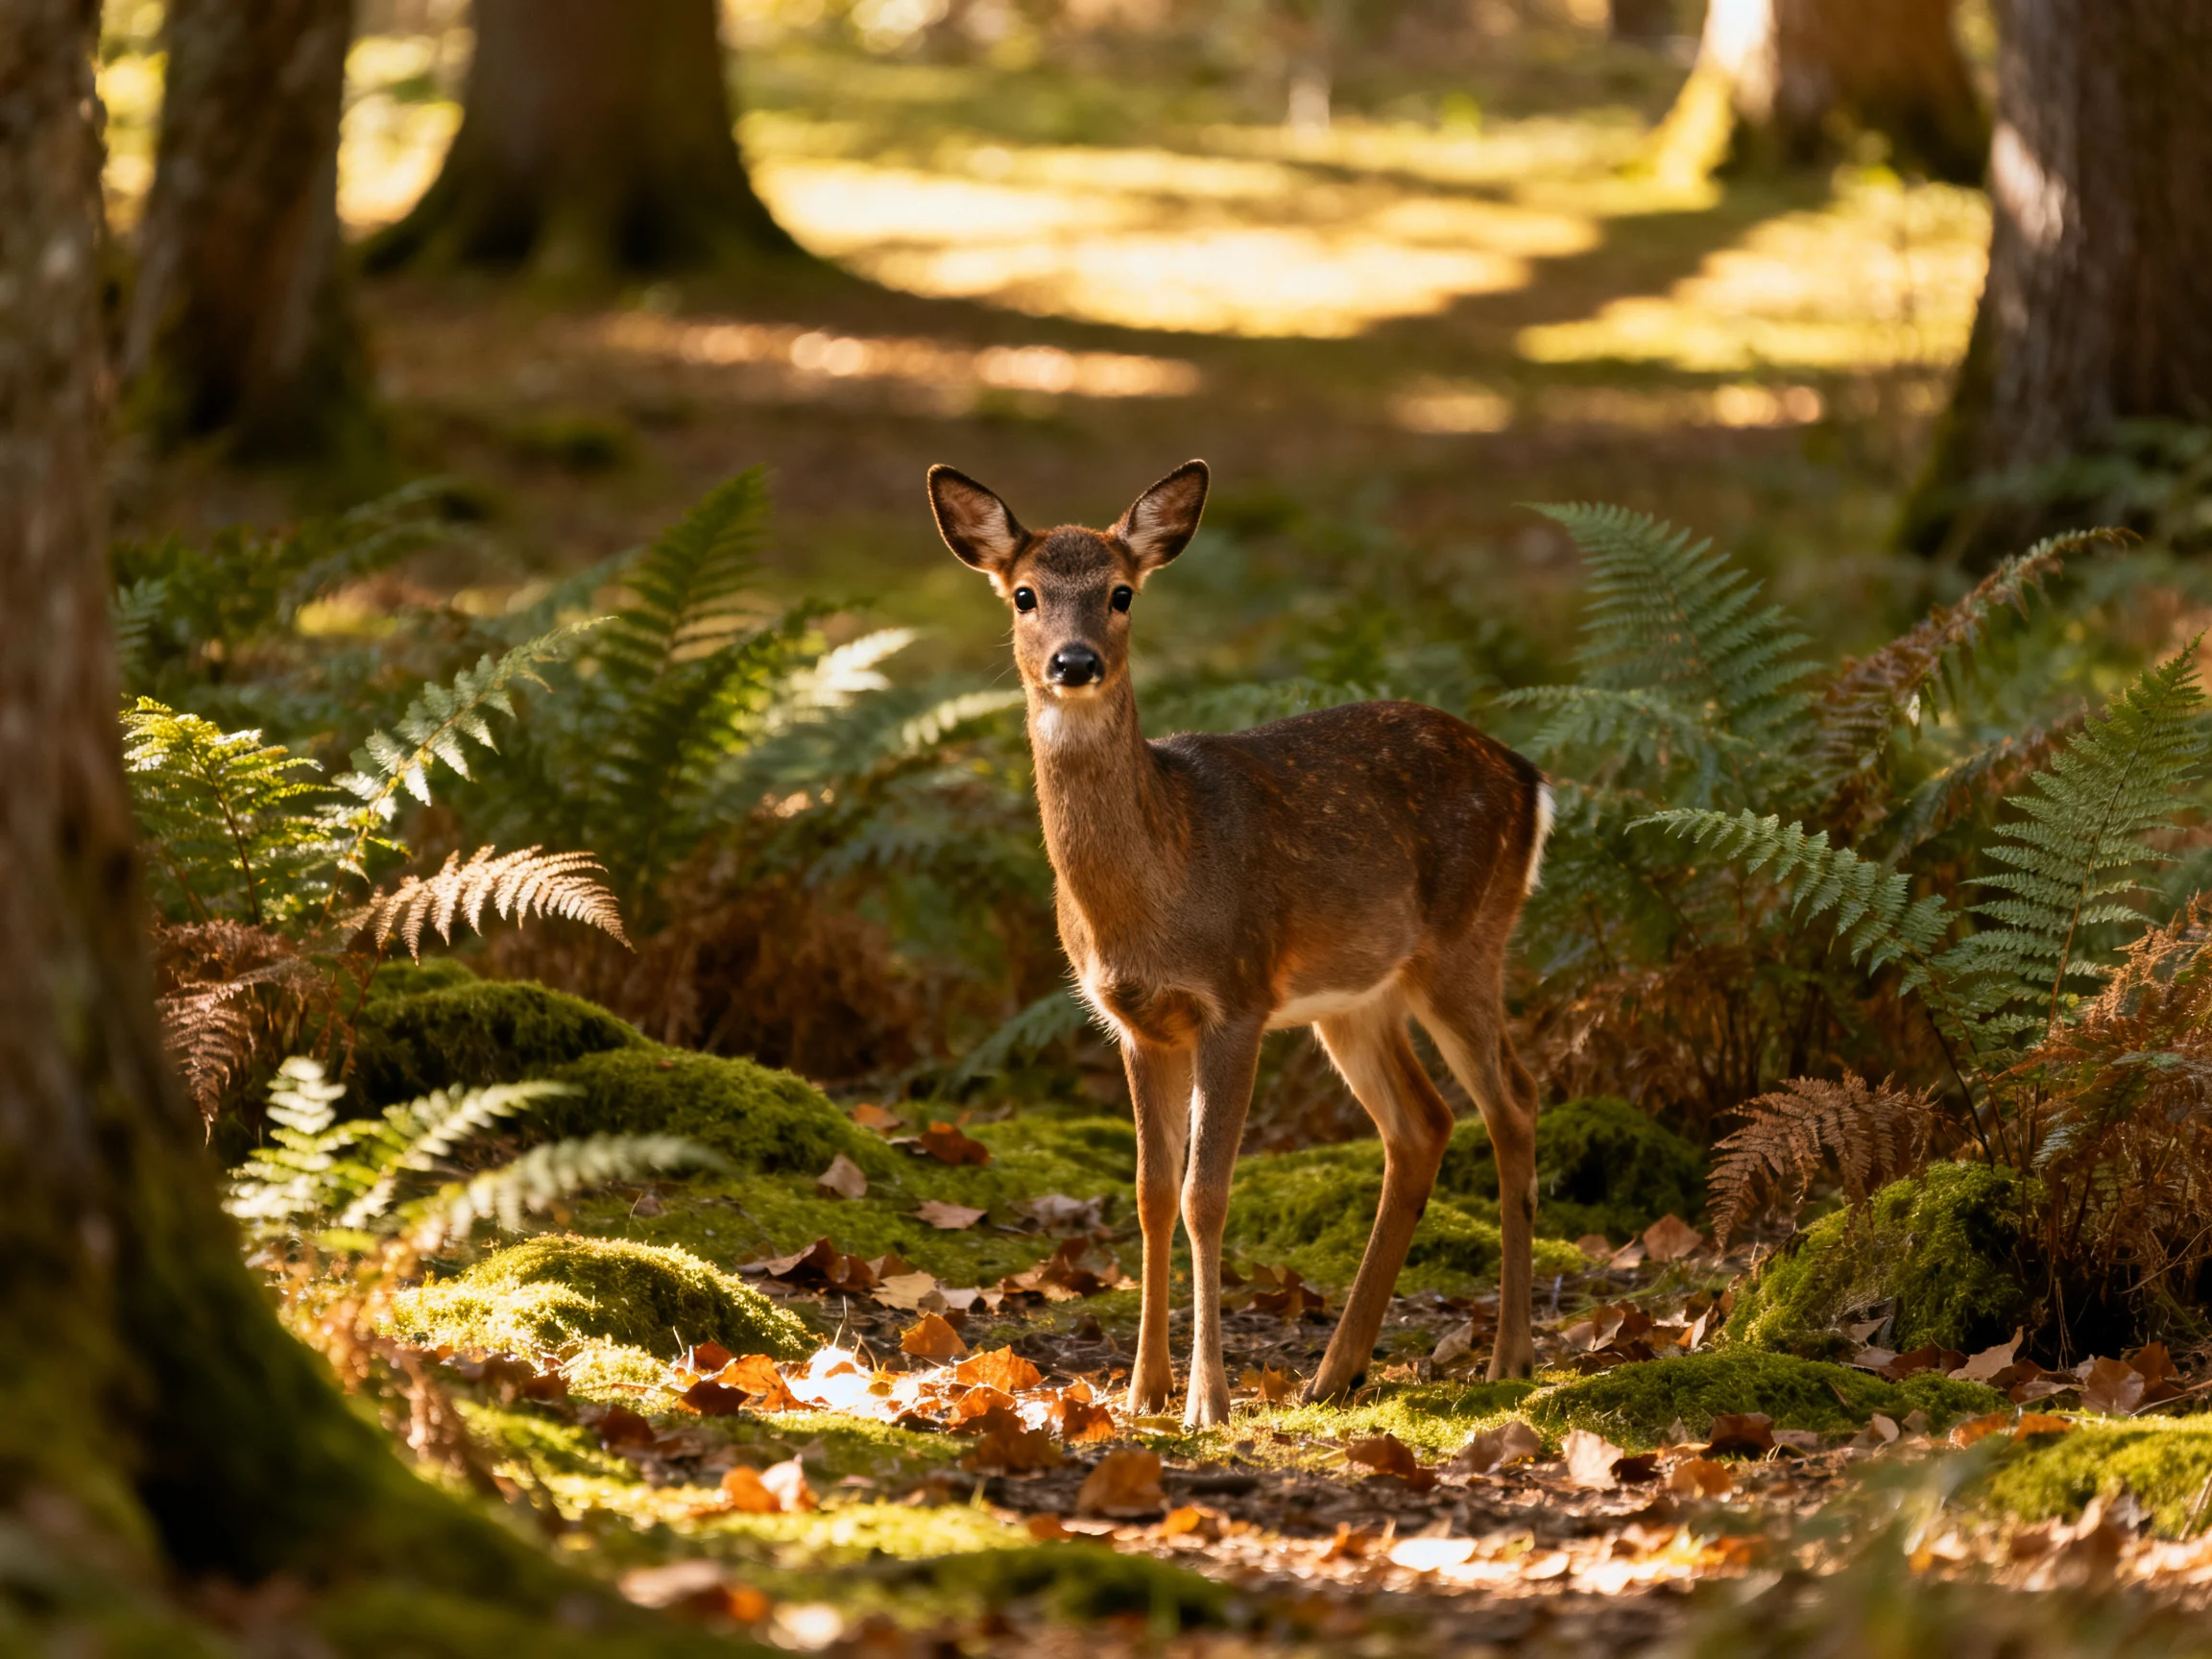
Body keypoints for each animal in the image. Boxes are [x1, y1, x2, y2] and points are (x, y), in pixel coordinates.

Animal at [927, 459, 1552, 1428]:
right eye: (1025, 593)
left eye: (1122, 593)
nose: (1076, 661)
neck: (1156, 888)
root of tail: (1529, 777)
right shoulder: (1135, 1022)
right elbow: (1149, 1194)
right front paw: (1142, 1390)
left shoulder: (1238, 1000)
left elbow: (1206, 1196)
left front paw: (1207, 1402)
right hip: (1357, 994)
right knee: (1422, 1123)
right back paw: (1335, 1371)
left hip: (1465, 941)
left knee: (1514, 1103)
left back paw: (1508, 1356)